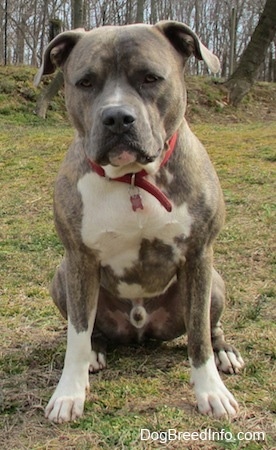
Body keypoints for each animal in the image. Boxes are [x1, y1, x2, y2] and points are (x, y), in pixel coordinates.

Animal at [35, 20, 244, 422]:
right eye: (85, 82)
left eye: (150, 78)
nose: (117, 117)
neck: (133, 178)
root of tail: (140, 329)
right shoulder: (78, 259)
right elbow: (76, 335)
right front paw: (69, 393)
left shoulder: (198, 255)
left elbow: (198, 336)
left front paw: (211, 392)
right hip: (60, 277)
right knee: (90, 332)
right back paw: (96, 353)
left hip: (216, 280)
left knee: (211, 327)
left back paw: (225, 352)